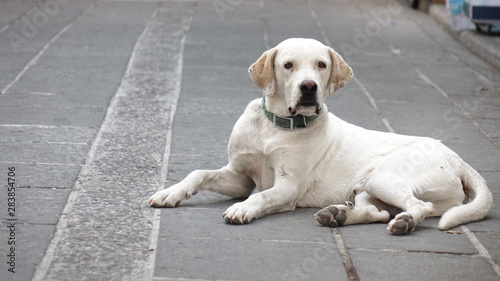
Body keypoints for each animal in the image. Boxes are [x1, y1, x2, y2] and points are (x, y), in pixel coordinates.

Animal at [148, 37, 492, 234]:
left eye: (321, 65)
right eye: (288, 65)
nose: (309, 87)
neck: (276, 128)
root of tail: (459, 161)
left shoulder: (286, 186)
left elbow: (261, 196)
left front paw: (243, 209)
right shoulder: (240, 176)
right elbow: (199, 173)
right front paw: (169, 193)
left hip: (384, 176)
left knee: (420, 208)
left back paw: (403, 223)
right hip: (366, 186)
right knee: (378, 211)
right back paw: (337, 215)